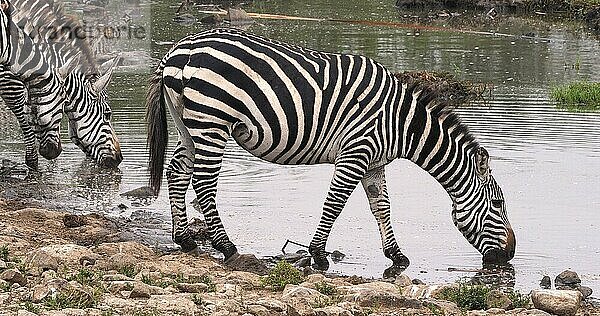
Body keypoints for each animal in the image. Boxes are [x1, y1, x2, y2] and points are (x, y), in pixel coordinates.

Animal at [146, 27, 516, 270]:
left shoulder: (375, 162)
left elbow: (382, 207)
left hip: (188, 124)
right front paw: (318, 254)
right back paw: (227, 247)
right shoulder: (356, 152)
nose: (510, 255)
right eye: (498, 205)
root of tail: (180, 50)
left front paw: (396, 255)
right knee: (204, 182)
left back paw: (185, 239)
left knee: (177, 170)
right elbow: (335, 204)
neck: (400, 123)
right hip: (212, 121)